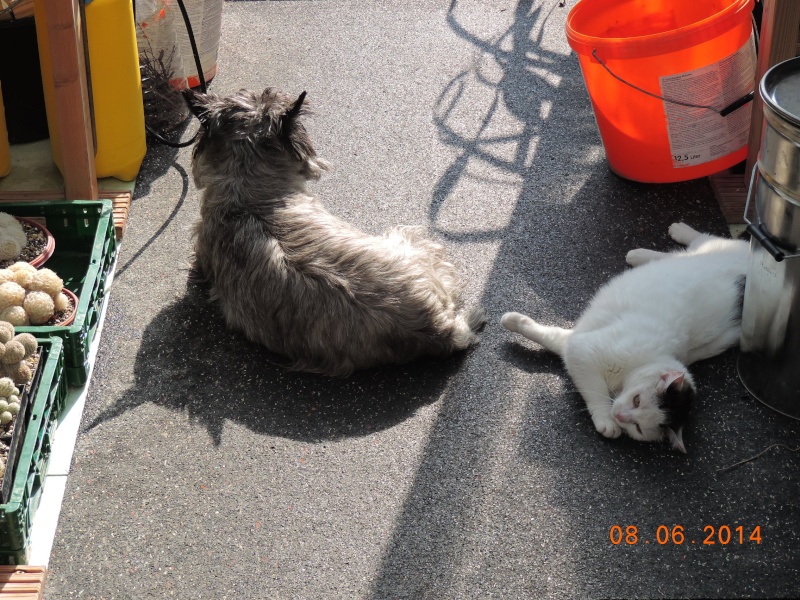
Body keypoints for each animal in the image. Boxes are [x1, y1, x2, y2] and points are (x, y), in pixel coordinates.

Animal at [500, 223, 752, 452]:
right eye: (637, 400)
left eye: (638, 427)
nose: (620, 416)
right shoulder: (584, 350)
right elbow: (595, 391)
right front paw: (605, 419)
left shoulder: (574, 344)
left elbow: (549, 336)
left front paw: (514, 321)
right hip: (715, 246)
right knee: (701, 239)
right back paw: (668, 236)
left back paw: (641, 254)